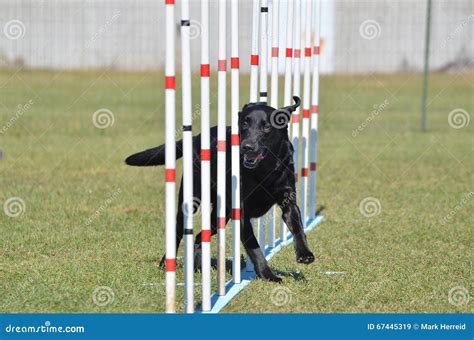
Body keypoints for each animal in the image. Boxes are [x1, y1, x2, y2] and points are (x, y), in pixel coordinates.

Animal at [125, 95, 314, 282]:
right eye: (244, 124)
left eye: (267, 126)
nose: (247, 146)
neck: (263, 170)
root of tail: (196, 137)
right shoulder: (241, 214)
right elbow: (255, 248)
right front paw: (268, 275)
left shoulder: (288, 201)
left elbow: (298, 227)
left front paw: (305, 254)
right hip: (190, 202)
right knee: (178, 232)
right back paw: (166, 263)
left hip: (219, 217)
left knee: (200, 236)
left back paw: (198, 265)